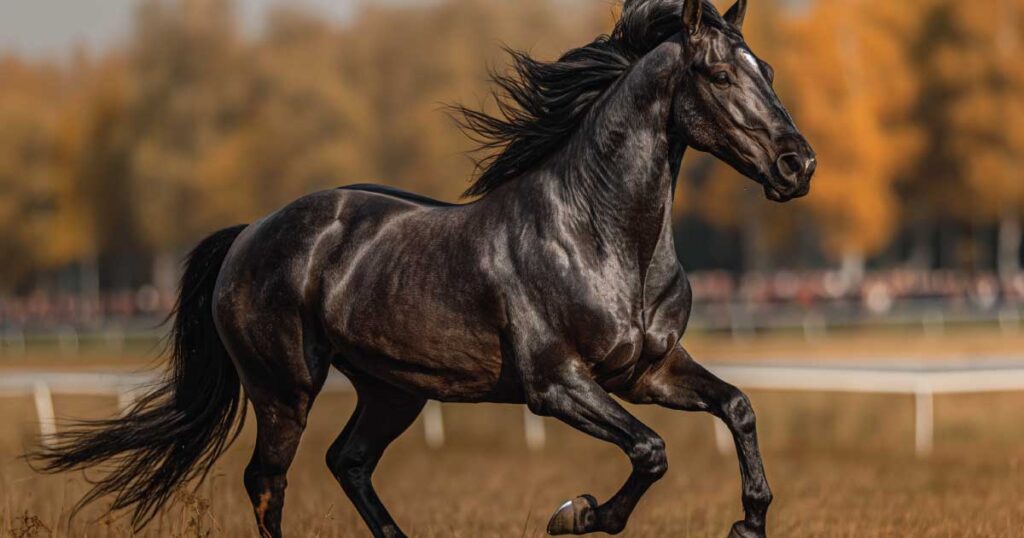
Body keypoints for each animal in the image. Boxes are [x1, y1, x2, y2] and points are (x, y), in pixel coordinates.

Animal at [32, 0, 815, 536]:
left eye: (770, 70)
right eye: (719, 73)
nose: (798, 164)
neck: (601, 237)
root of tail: (248, 235)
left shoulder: (648, 371)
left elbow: (737, 407)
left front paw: (749, 520)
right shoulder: (556, 385)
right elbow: (651, 451)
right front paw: (577, 512)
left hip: (392, 390)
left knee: (347, 461)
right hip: (285, 390)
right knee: (267, 480)